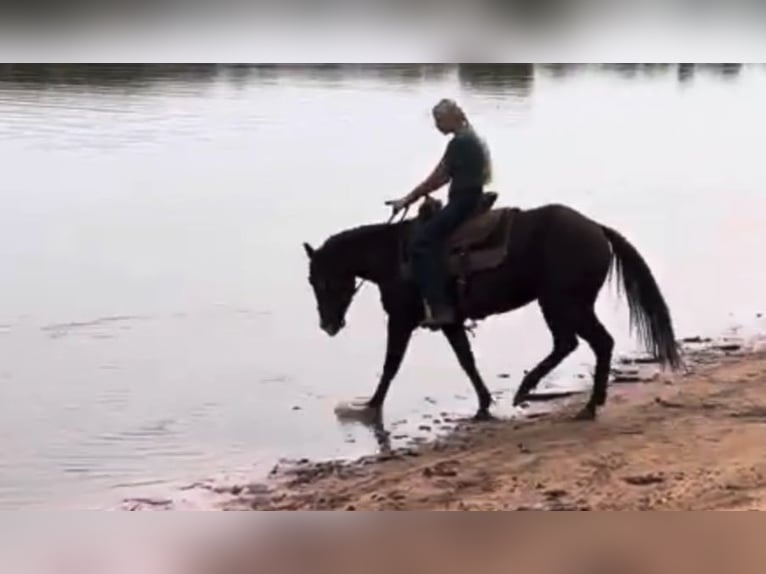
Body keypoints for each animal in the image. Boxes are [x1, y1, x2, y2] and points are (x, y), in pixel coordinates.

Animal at [304, 194, 680, 424]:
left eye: (319, 280)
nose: (327, 325)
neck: (393, 257)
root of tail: (597, 229)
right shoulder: (450, 322)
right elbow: (466, 361)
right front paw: (485, 402)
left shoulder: (400, 320)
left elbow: (390, 364)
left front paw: (368, 407)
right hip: (561, 303)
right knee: (570, 343)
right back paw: (538, 391)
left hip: (563, 302)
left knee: (595, 343)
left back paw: (583, 405)